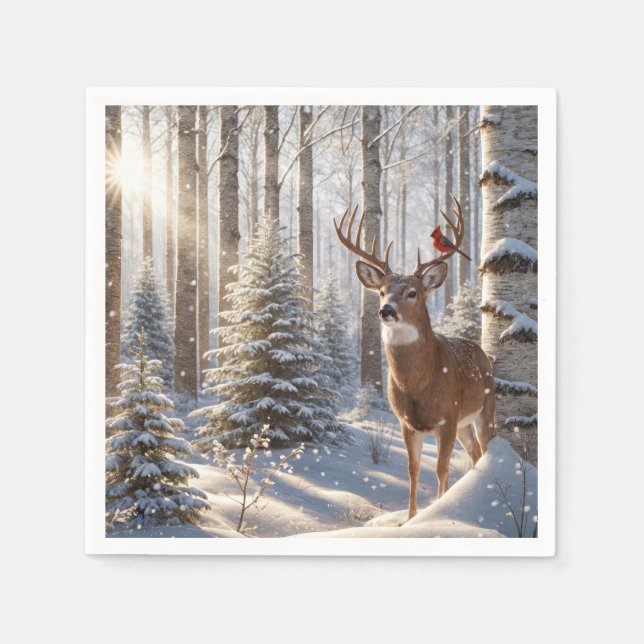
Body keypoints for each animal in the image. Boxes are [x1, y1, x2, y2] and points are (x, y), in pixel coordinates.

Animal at [334, 194, 496, 521]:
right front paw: (409, 519)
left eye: (412, 292)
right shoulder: (407, 423)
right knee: (473, 453)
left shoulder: (447, 417)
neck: (419, 384)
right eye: (381, 291)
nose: (385, 310)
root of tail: (482, 354)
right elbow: (413, 469)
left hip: (486, 408)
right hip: (464, 424)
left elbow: (441, 469)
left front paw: (437, 511)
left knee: (484, 450)